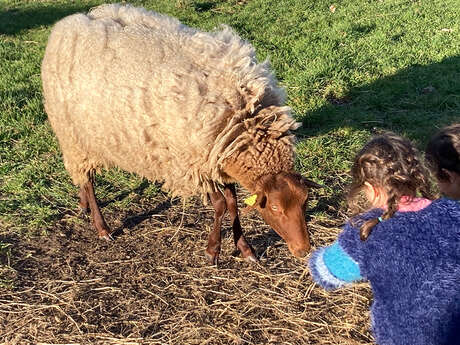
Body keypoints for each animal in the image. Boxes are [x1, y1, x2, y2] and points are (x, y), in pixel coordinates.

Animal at [41, 3, 320, 264]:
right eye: (274, 207)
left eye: (306, 201)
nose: (303, 250)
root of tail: (71, 21)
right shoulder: (195, 161)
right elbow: (221, 206)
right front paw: (213, 251)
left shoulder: (218, 159)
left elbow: (233, 204)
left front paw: (245, 249)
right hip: (73, 135)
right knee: (87, 180)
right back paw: (102, 227)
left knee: (82, 177)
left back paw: (83, 205)